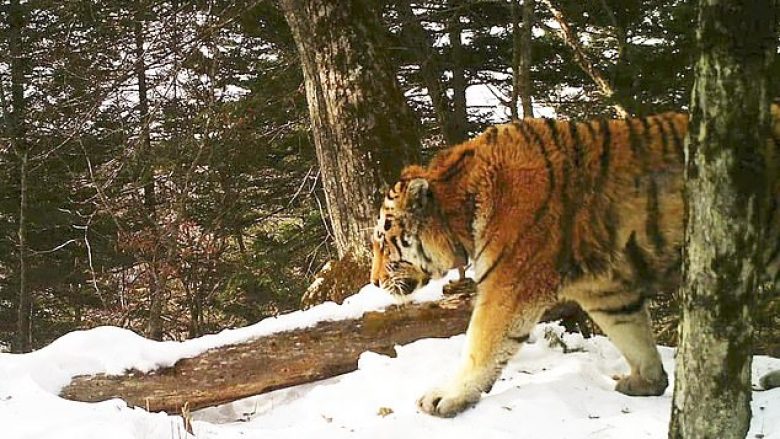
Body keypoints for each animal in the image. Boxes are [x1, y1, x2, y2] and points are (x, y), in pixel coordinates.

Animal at [370, 105, 780, 418]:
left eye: (383, 243)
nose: (373, 282)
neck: (462, 203)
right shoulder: (606, 290)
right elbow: (632, 334)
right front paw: (648, 382)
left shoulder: (510, 283)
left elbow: (481, 344)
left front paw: (446, 396)